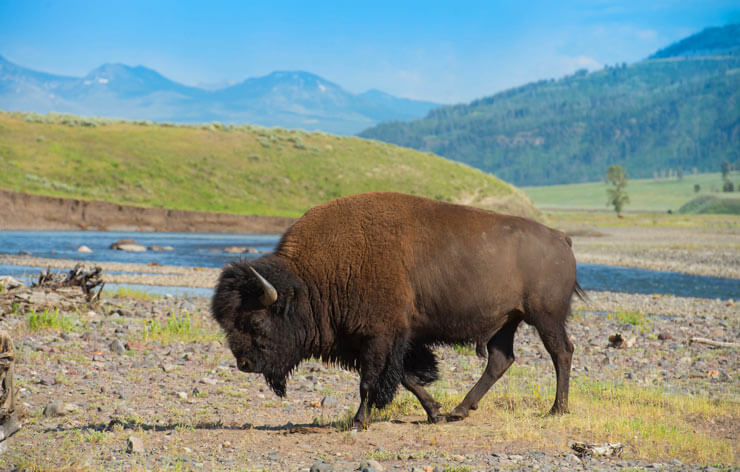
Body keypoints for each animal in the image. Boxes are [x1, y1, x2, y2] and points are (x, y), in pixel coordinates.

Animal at [211, 191, 588, 428]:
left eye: (255, 321)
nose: (244, 364)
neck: (311, 279)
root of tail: (560, 237)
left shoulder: (379, 337)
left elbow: (371, 381)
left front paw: (359, 421)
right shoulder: (380, 340)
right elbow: (404, 377)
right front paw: (435, 413)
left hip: (544, 317)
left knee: (561, 352)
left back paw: (557, 409)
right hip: (506, 322)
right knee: (501, 360)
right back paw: (459, 411)